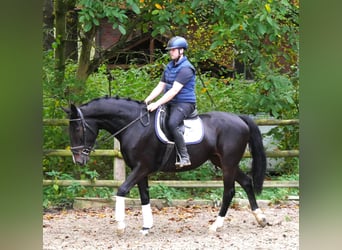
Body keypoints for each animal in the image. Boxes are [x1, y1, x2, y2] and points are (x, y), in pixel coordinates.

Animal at [63, 95, 268, 234]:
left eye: (78, 128)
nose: (78, 160)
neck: (134, 126)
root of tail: (239, 118)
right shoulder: (139, 169)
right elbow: (144, 196)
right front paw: (146, 226)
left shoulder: (142, 167)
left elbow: (122, 190)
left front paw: (120, 225)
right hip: (222, 161)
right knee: (246, 182)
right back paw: (260, 218)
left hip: (228, 163)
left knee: (229, 191)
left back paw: (216, 225)